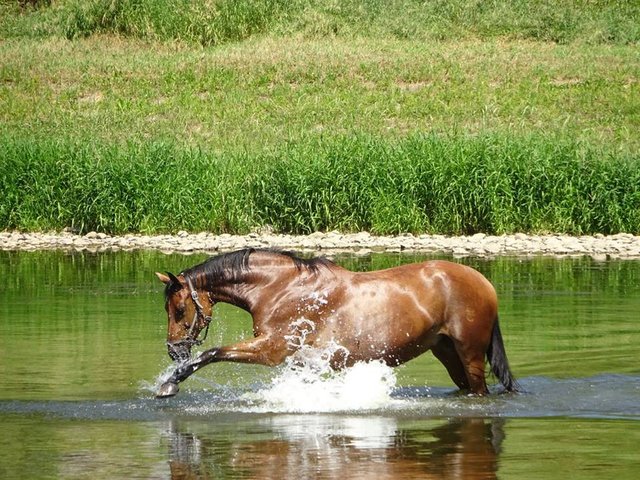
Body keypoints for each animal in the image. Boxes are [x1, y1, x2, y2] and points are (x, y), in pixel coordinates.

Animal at [155, 248, 520, 398]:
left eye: (179, 310)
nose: (173, 350)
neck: (280, 287)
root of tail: (483, 282)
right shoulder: (299, 360)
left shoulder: (271, 349)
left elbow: (212, 353)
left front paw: (169, 384)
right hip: (446, 352)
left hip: (470, 353)